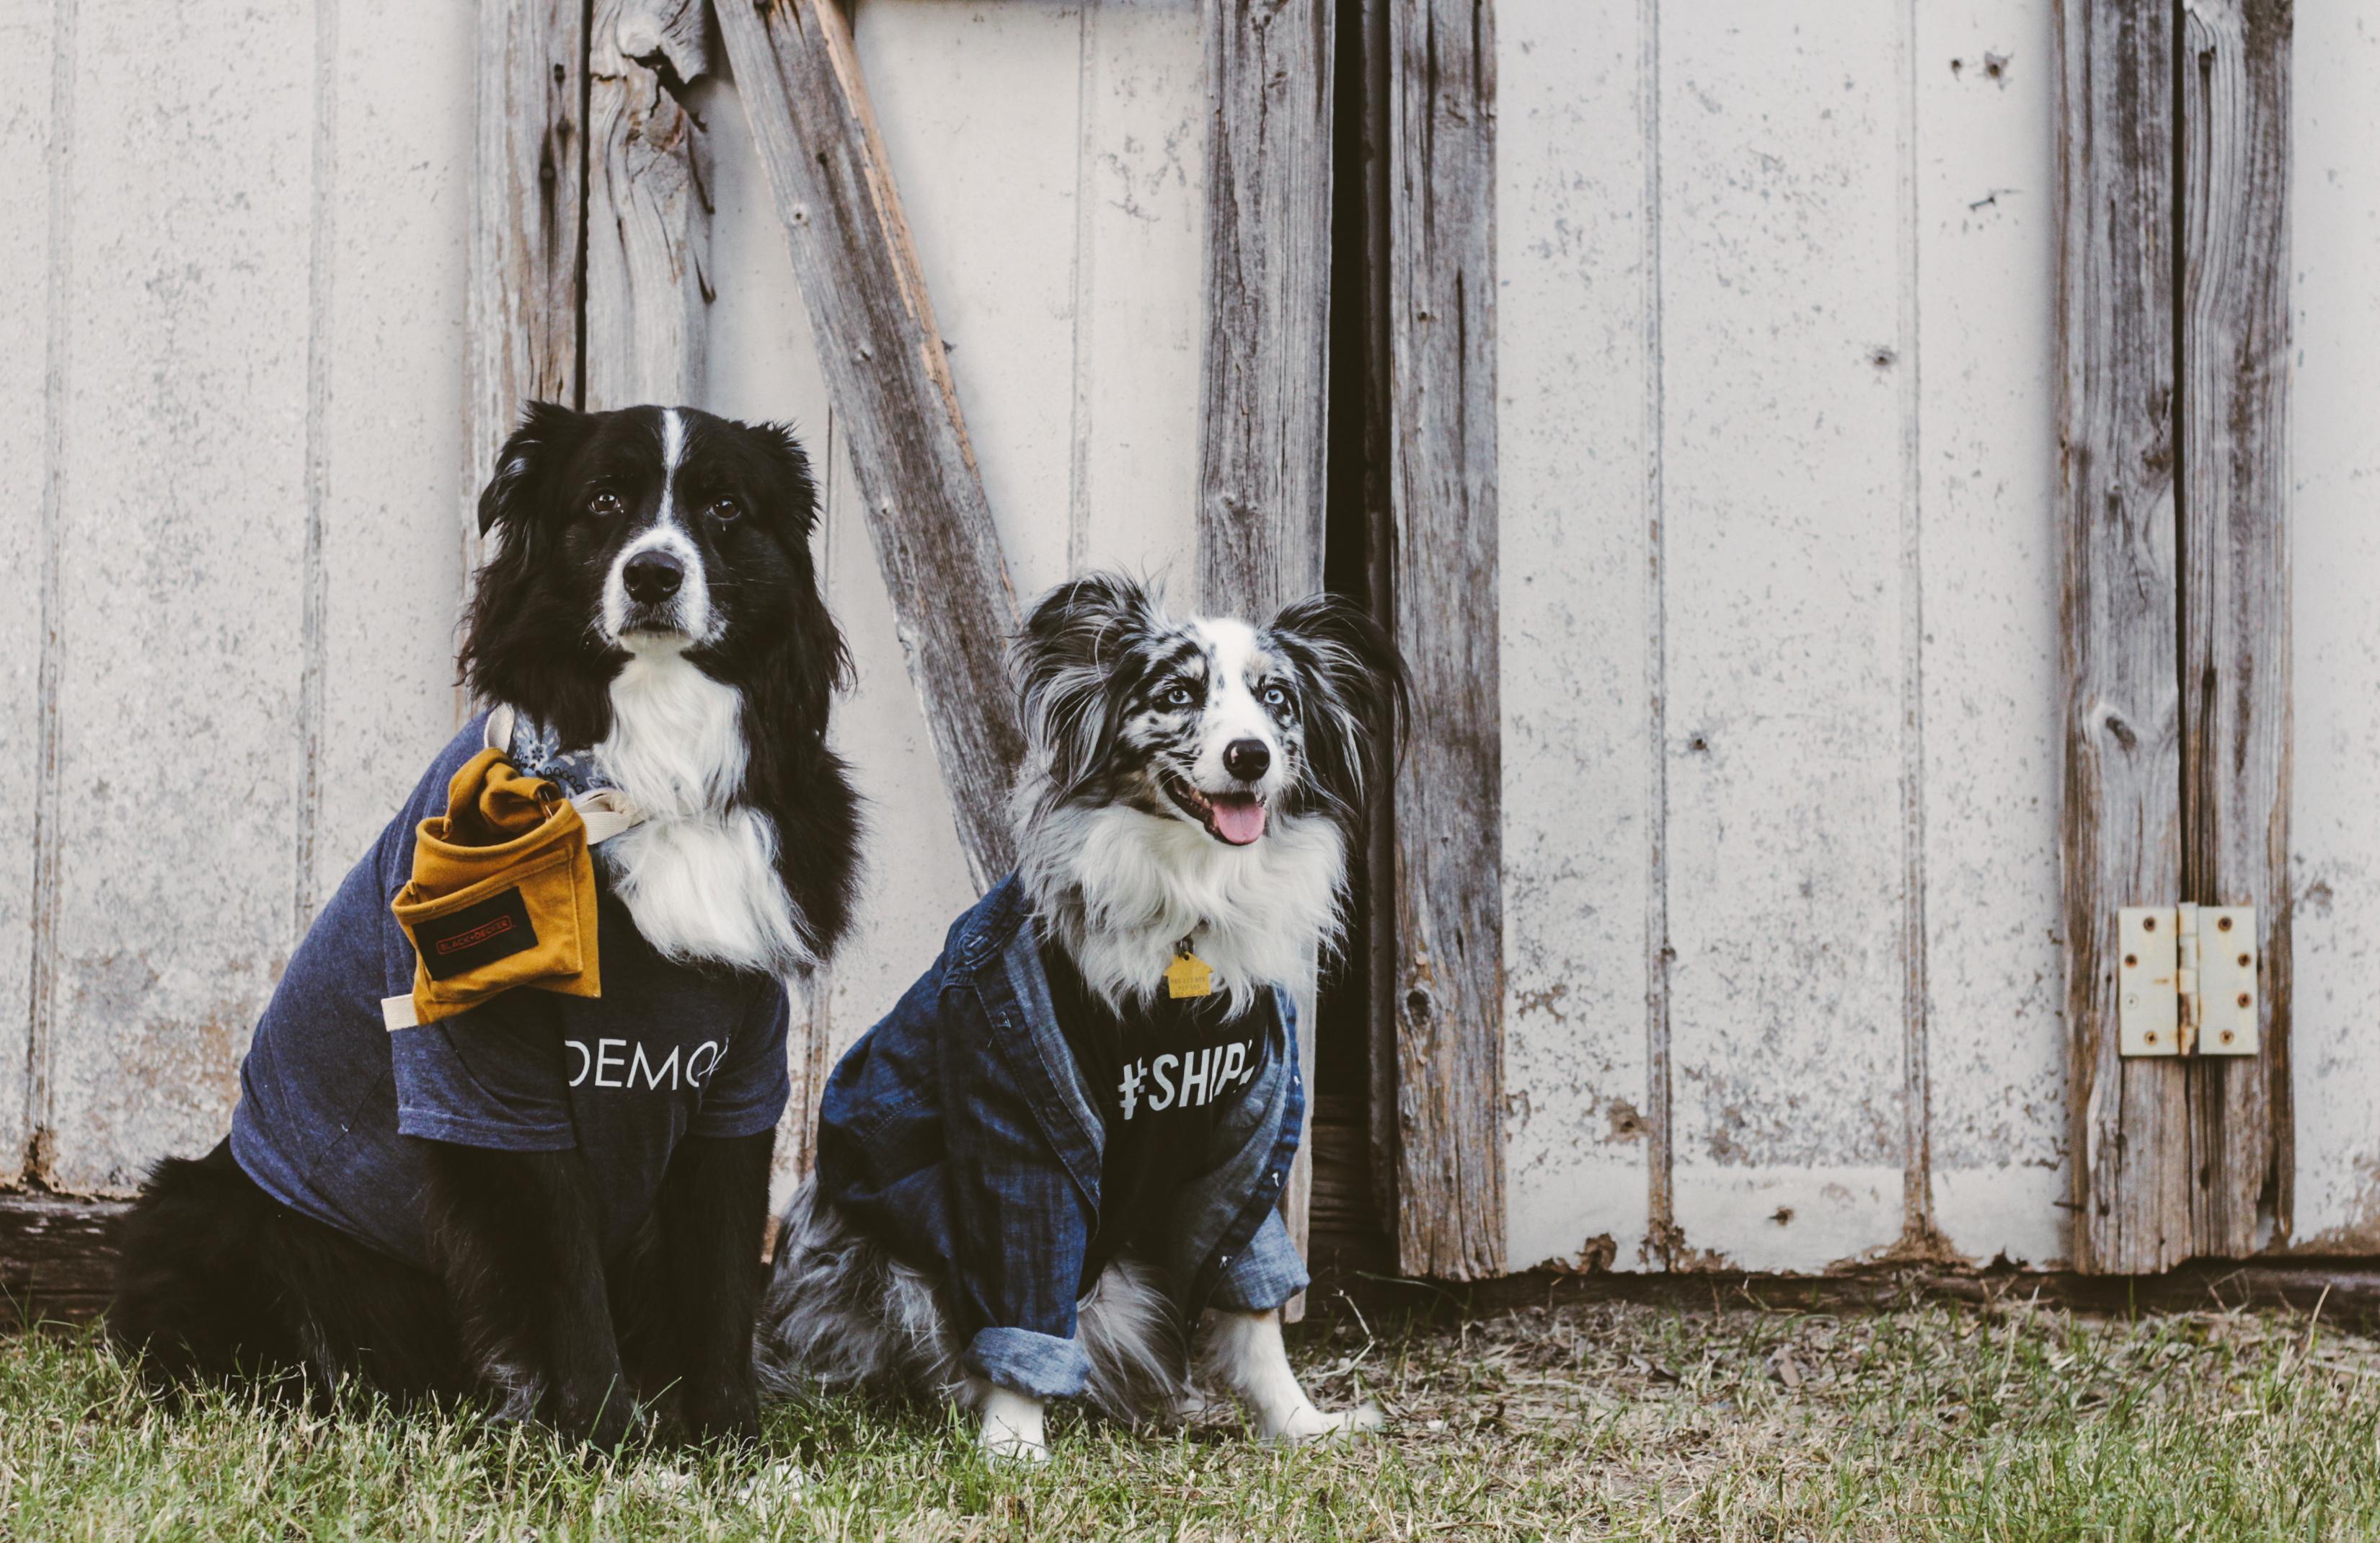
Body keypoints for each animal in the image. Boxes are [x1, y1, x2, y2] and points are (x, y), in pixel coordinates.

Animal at [112, 404, 861, 1457]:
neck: (648, 770)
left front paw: (731, 1448)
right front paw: (604, 1446)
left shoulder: (738, 1080)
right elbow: (567, 1289)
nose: (653, 573)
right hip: (200, 1209)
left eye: (724, 508)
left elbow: (718, 1284)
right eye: (603, 500)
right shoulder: (499, 1091)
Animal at [756, 576, 1389, 1457]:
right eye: (1177, 694)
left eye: (1276, 700)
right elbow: (1026, 1296)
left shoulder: (1247, 1131)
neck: (1188, 910)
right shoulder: (1021, 1132)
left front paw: (1301, 1423)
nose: (1250, 756)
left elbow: (1254, 1303)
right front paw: (1012, 1445)